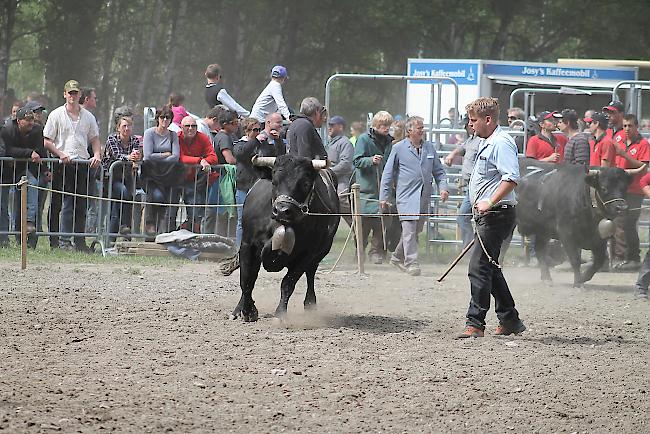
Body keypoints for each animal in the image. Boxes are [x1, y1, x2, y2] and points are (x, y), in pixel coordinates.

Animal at [229, 154, 340, 320]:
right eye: (274, 181)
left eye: (306, 183)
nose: (282, 210)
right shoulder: (247, 245)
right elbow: (247, 279)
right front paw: (247, 310)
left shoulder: (307, 254)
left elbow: (288, 283)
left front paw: (280, 314)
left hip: (320, 253)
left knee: (311, 273)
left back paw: (310, 304)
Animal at [512, 161, 640, 286]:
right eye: (604, 188)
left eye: (625, 188)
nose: (622, 208)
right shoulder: (566, 233)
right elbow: (575, 259)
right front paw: (578, 282)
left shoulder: (599, 238)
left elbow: (599, 261)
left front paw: (584, 277)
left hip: (543, 230)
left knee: (540, 251)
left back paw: (547, 278)